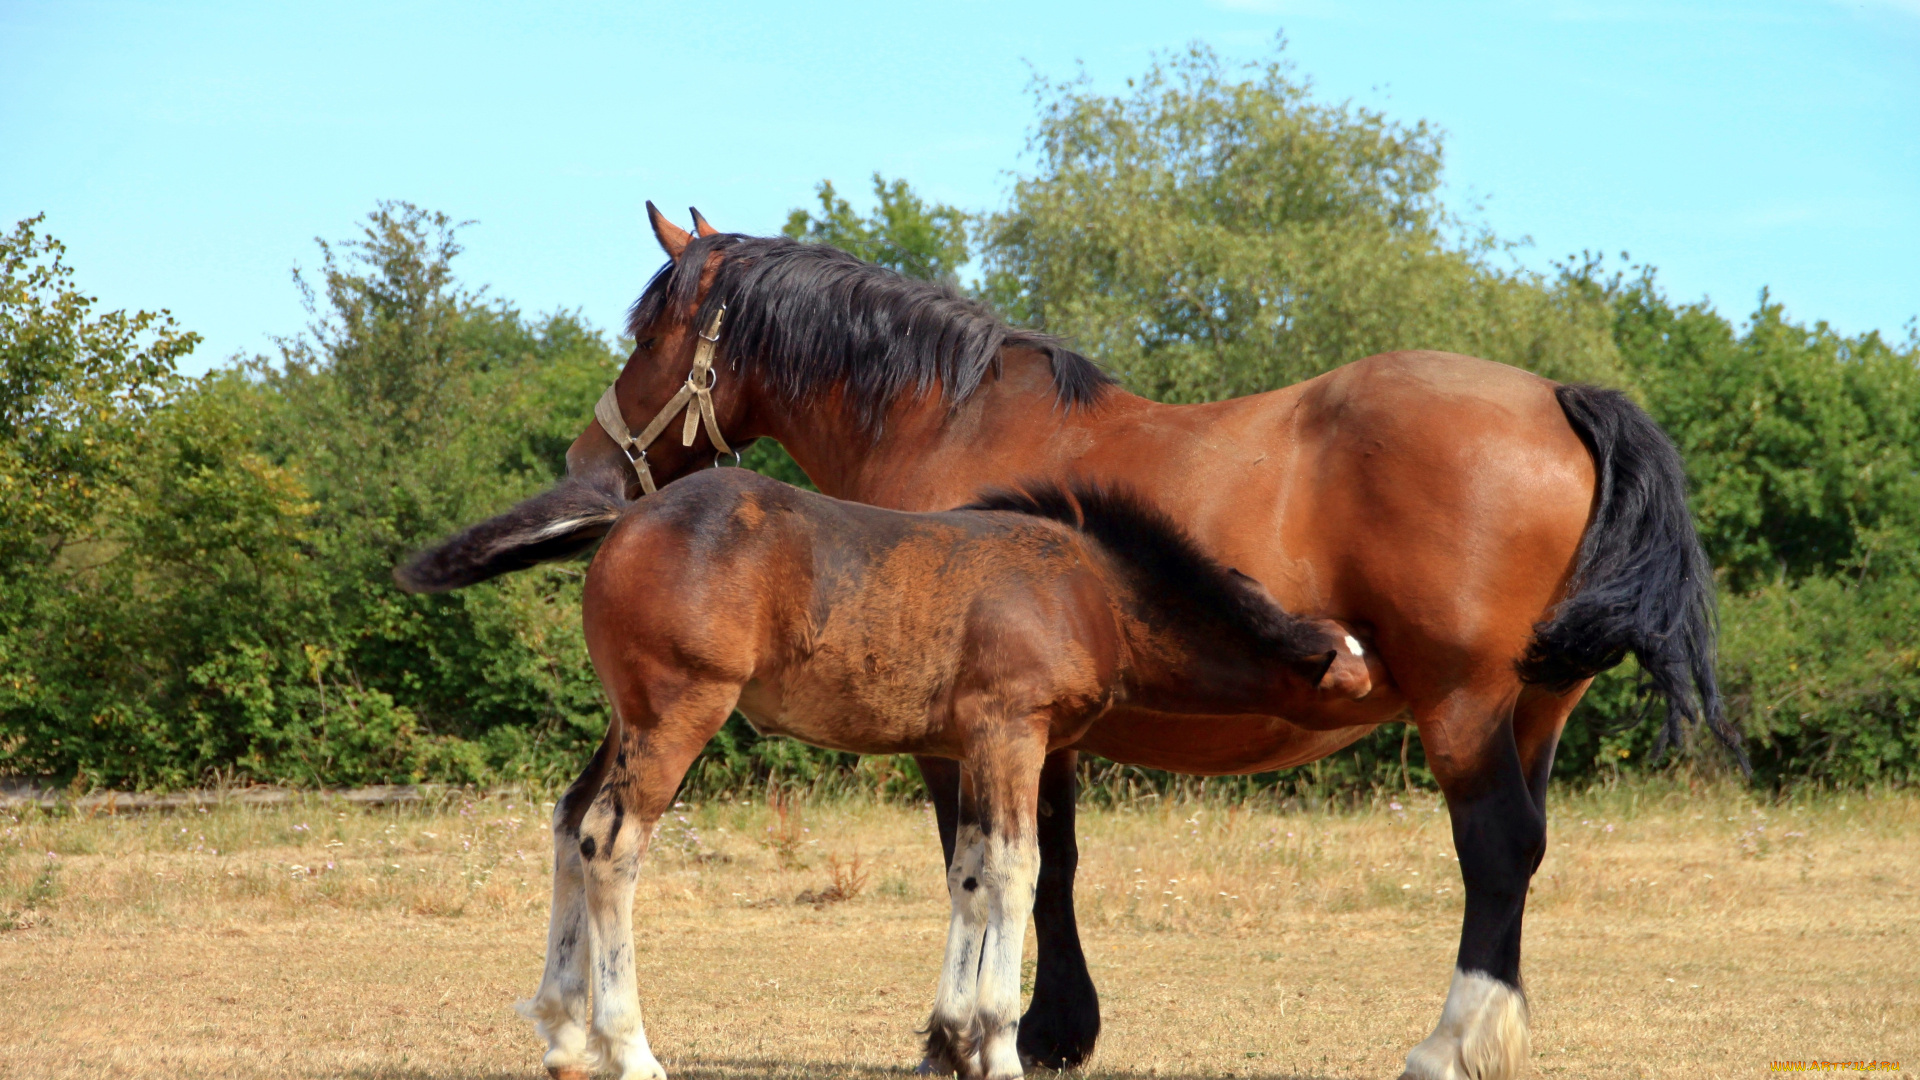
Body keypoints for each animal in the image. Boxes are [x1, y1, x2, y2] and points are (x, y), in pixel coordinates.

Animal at [397, 203, 1735, 1076]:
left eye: (653, 332)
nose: (594, 457)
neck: (950, 422)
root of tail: (1556, 396)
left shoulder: (972, 735)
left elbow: (989, 869)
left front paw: (991, 1035)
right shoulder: (1022, 728)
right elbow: (1040, 870)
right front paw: (1037, 1031)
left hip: (1464, 710)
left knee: (1493, 852)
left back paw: (1454, 1045)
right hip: (1532, 710)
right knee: (1523, 857)